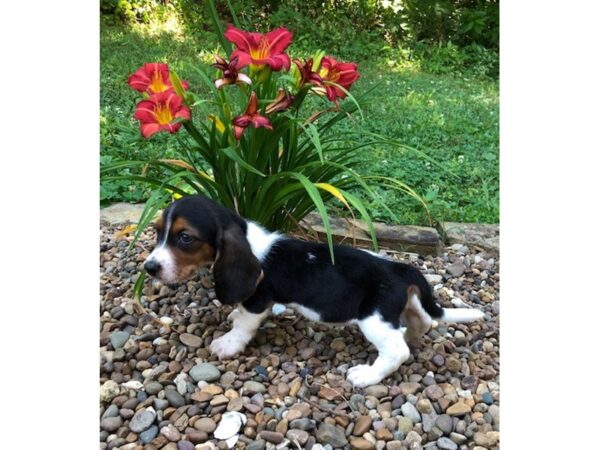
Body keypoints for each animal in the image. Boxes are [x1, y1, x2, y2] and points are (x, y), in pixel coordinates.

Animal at [143, 195, 486, 388]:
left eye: (185, 238)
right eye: (158, 232)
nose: (150, 267)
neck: (246, 237)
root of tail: (401, 269)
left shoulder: (258, 300)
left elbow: (244, 324)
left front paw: (228, 344)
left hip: (373, 318)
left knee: (397, 351)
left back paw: (366, 375)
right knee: (422, 321)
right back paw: (411, 333)